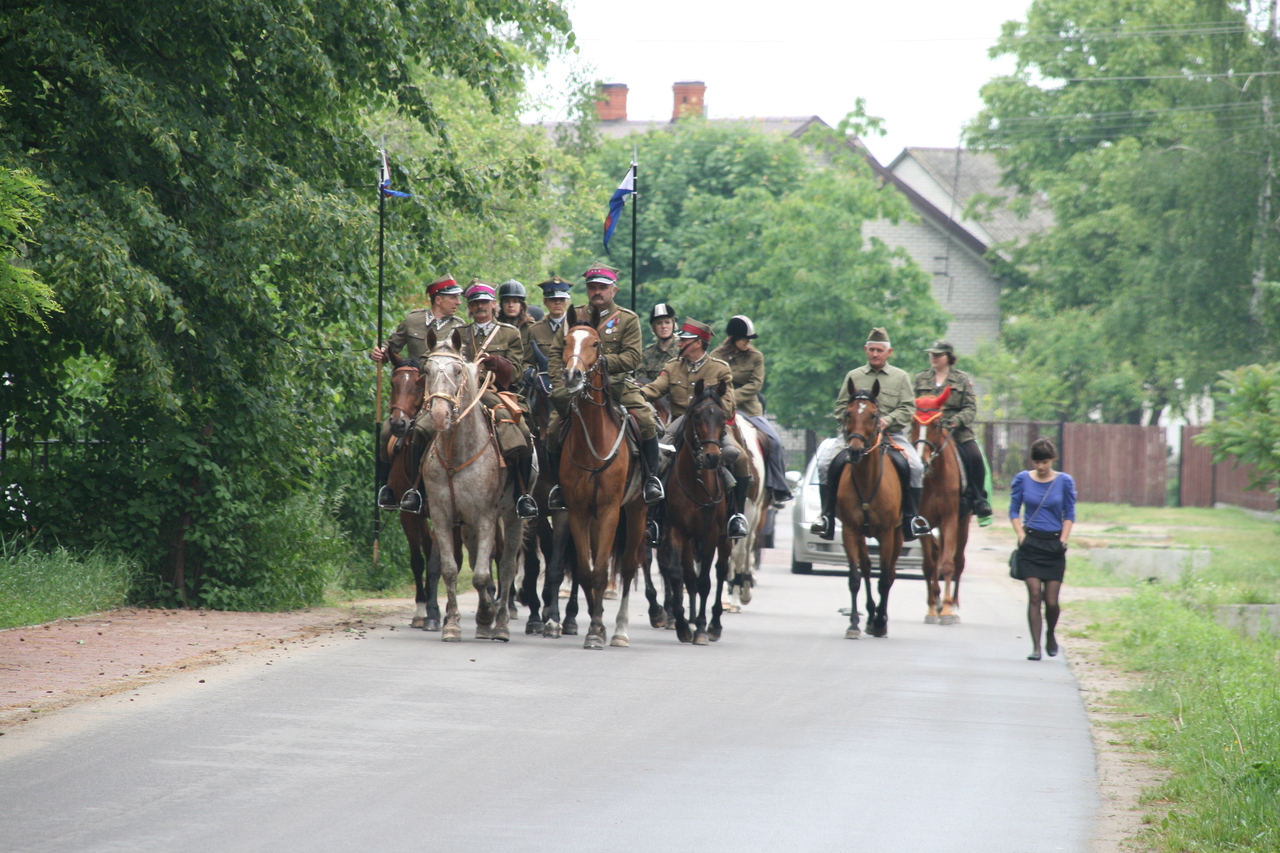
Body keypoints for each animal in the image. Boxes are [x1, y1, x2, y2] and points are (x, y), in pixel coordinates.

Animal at [558, 303, 645, 645]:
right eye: (565, 341)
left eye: (596, 344)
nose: (572, 375)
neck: (594, 442)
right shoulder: (579, 512)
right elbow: (586, 571)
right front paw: (595, 625)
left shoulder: (610, 511)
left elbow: (601, 572)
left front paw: (597, 630)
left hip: (636, 511)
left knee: (630, 566)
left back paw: (620, 630)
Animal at [660, 379, 732, 645]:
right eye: (697, 415)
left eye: (722, 416)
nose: (712, 457)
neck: (696, 482)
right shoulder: (676, 531)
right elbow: (676, 575)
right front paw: (682, 625)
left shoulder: (710, 534)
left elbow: (704, 582)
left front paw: (700, 627)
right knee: (687, 576)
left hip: (725, 538)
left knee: (720, 572)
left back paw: (715, 624)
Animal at [834, 379, 906, 637]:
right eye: (848, 413)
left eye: (874, 415)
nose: (855, 451)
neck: (867, 480)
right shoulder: (850, 530)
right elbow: (855, 577)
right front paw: (854, 623)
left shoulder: (886, 534)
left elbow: (884, 579)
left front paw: (881, 623)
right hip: (862, 535)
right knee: (866, 569)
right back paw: (869, 615)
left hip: (898, 534)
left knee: (890, 573)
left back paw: (879, 619)